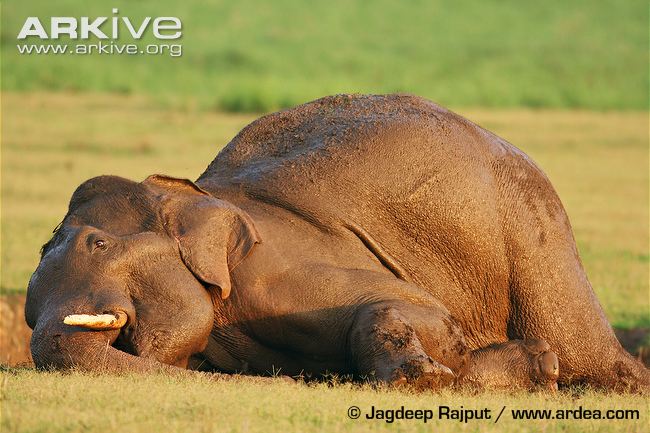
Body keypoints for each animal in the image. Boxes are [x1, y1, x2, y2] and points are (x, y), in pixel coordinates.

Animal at [26, 94, 649, 391]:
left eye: (98, 244)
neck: (200, 197)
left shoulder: (276, 271)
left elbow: (423, 310)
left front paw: (424, 378)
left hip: (536, 235)